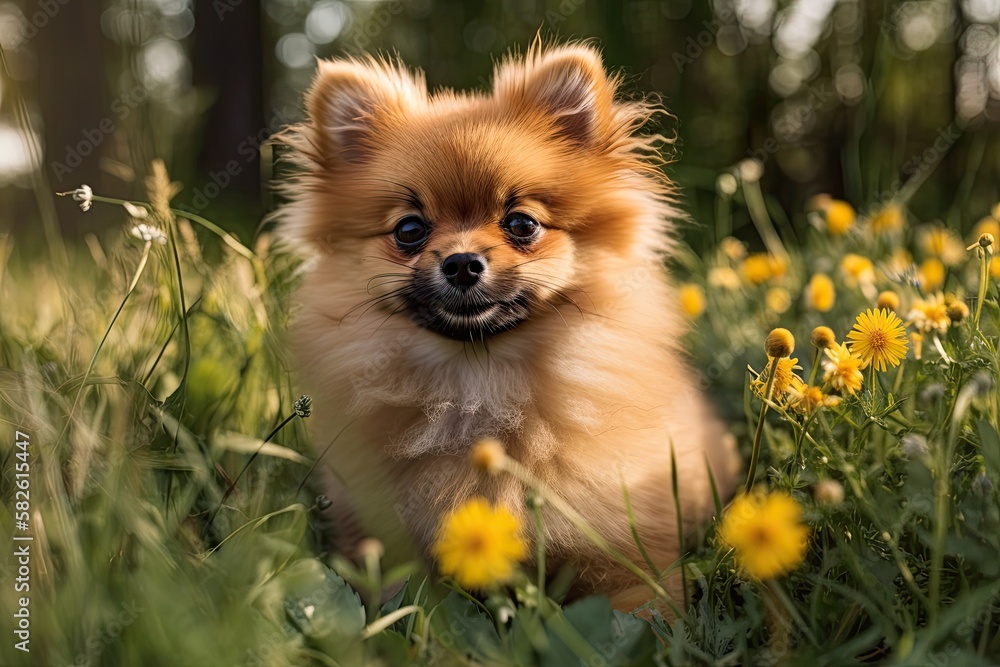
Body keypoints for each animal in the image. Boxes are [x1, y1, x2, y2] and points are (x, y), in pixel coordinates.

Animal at [278, 43, 740, 612]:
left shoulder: (629, 559)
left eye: (521, 223)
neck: (479, 384)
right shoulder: (389, 549)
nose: (461, 263)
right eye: (409, 230)